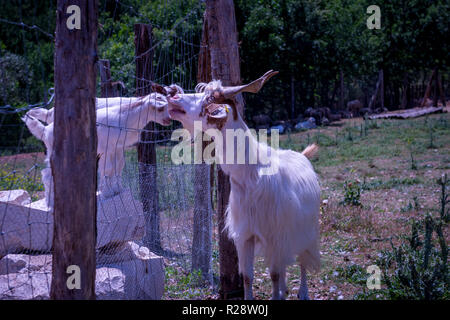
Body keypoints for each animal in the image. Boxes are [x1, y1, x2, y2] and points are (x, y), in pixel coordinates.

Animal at [21, 90, 173, 204]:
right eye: (160, 108)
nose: (169, 120)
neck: (126, 116)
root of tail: (45, 130)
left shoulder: (117, 147)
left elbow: (118, 166)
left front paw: (118, 189)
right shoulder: (106, 148)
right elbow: (108, 169)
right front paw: (107, 193)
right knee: (47, 174)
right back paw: (51, 202)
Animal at [164, 70, 320, 300]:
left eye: (208, 100)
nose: (173, 96)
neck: (251, 174)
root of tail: (301, 155)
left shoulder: (275, 235)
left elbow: (274, 274)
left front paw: (278, 294)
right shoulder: (245, 234)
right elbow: (247, 276)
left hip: (305, 229)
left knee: (302, 260)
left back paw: (303, 292)